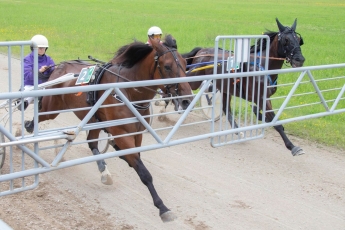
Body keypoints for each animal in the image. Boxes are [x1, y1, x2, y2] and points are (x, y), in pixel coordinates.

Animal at [23, 35, 192, 222]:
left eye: (185, 63)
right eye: (167, 66)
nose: (187, 100)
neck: (127, 92)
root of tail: (59, 66)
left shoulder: (136, 132)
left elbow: (135, 157)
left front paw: (123, 157)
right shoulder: (121, 133)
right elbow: (143, 172)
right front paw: (162, 207)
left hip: (93, 118)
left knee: (92, 143)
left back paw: (104, 171)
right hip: (52, 107)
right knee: (37, 117)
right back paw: (27, 127)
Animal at [181, 17, 306, 155]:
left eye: (298, 40)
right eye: (286, 40)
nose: (299, 59)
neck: (262, 67)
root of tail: (202, 50)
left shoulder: (265, 97)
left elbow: (267, 116)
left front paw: (259, 114)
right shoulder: (260, 97)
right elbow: (275, 122)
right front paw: (292, 146)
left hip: (225, 88)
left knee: (226, 109)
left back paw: (238, 132)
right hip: (195, 78)